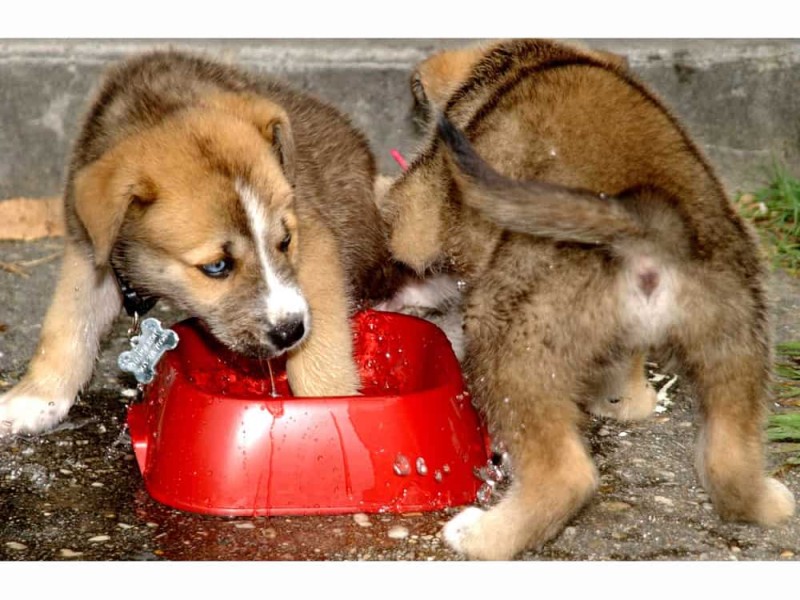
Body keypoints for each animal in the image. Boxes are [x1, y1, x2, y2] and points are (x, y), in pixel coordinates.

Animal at [0, 49, 400, 437]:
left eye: (286, 241)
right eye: (216, 266)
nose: (290, 331)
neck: (157, 106)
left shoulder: (317, 248)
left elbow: (322, 351)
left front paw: (331, 409)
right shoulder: (90, 252)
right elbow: (66, 324)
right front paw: (34, 399)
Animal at [380, 39, 796, 560]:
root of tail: (653, 228)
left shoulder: (417, 212)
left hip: (510, 341)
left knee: (564, 476)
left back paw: (481, 536)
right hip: (736, 344)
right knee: (724, 460)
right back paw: (766, 498)